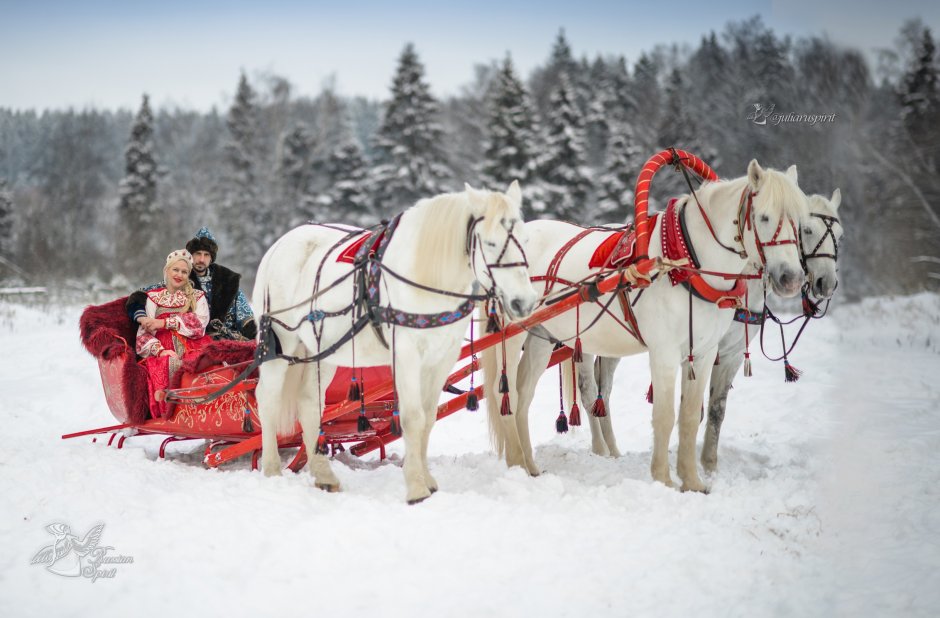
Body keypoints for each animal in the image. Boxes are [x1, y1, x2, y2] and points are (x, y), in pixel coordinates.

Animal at [255, 182, 536, 500]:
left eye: (525, 239)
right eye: (489, 243)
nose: (524, 302)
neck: (429, 276)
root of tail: (279, 245)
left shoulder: (441, 358)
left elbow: (428, 418)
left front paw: (427, 479)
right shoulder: (407, 354)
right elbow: (413, 417)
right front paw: (416, 487)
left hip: (324, 349)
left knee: (309, 402)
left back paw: (324, 474)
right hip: (280, 344)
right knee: (267, 399)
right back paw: (272, 470)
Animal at [484, 159, 808, 490]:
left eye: (801, 221)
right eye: (764, 217)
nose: (792, 278)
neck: (684, 263)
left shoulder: (705, 353)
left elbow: (690, 415)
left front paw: (692, 482)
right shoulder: (664, 351)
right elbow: (664, 415)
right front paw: (663, 480)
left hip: (541, 336)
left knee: (524, 394)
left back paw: (529, 465)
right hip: (514, 334)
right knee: (507, 394)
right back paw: (517, 462)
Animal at [580, 190, 844, 464]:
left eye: (840, 234)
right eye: (806, 229)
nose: (827, 283)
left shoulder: (729, 354)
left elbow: (716, 409)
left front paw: (706, 462)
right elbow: (695, 410)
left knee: (604, 393)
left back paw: (612, 450)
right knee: (589, 391)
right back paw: (601, 449)